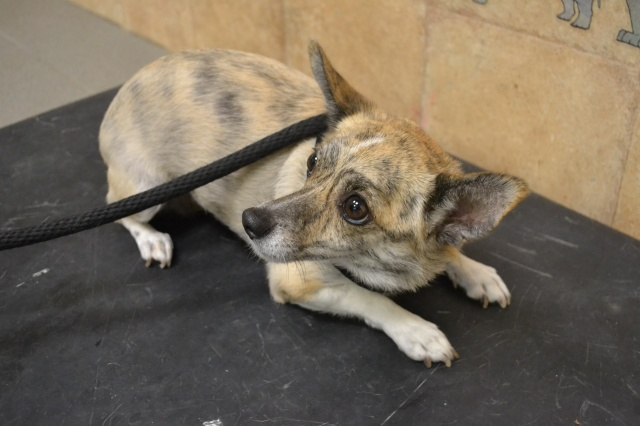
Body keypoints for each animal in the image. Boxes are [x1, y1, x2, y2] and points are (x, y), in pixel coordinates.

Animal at [99, 41, 529, 367]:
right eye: (312, 162)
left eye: (355, 207)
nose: (249, 221)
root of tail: (127, 87)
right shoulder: (301, 281)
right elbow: (368, 296)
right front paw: (416, 330)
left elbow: (451, 251)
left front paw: (474, 272)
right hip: (150, 187)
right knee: (118, 210)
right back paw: (152, 239)